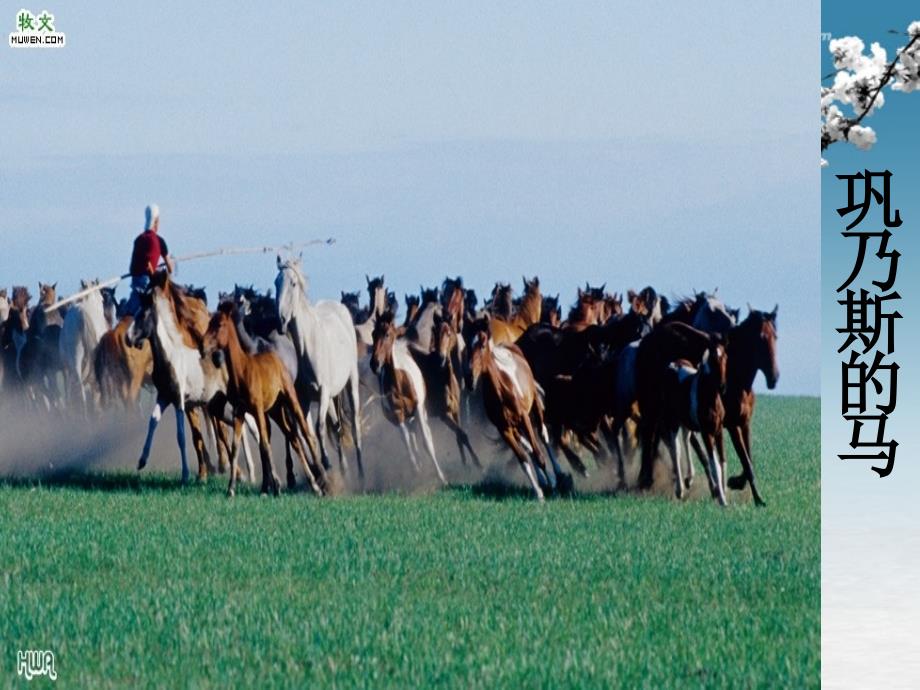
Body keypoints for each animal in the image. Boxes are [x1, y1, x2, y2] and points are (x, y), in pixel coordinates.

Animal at [274, 255, 362, 476]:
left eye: (293, 283)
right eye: (276, 283)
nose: (281, 320)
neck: (309, 348)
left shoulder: (322, 392)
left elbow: (319, 426)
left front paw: (326, 461)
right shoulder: (304, 398)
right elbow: (306, 432)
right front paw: (319, 465)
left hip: (350, 384)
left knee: (354, 425)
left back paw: (360, 470)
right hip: (331, 398)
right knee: (337, 426)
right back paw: (344, 468)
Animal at [724, 306, 780, 506]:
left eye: (776, 336)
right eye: (760, 338)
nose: (774, 377)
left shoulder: (745, 423)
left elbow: (749, 458)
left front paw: (736, 482)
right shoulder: (731, 424)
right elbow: (746, 462)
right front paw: (759, 500)